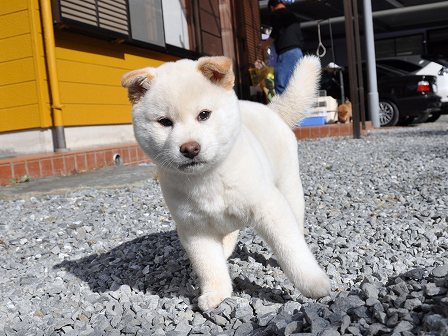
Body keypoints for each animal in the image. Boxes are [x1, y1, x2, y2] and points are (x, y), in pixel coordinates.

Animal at [121, 55, 330, 310]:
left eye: (204, 115)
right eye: (165, 122)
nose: (189, 148)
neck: (207, 179)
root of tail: (270, 110)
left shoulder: (269, 208)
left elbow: (291, 249)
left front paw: (313, 283)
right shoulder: (194, 228)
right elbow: (208, 265)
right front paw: (217, 293)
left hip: (289, 188)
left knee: (294, 222)